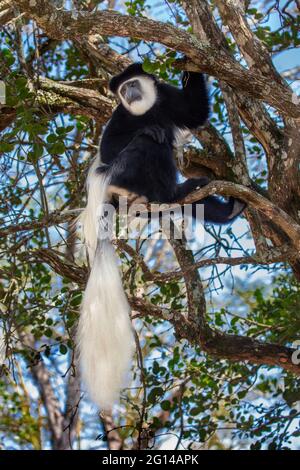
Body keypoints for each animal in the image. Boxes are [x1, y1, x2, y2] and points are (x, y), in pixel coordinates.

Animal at [78, 61, 245, 408]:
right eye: (123, 90)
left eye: (133, 84)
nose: (129, 92)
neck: (145, 110)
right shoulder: (120, 117)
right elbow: (111, 147)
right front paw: (146, 129)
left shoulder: (167, 100)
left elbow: (195, 112)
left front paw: (191, 62)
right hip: (122, 173)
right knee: (150, 145)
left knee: (182, 183)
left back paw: (209, 204)